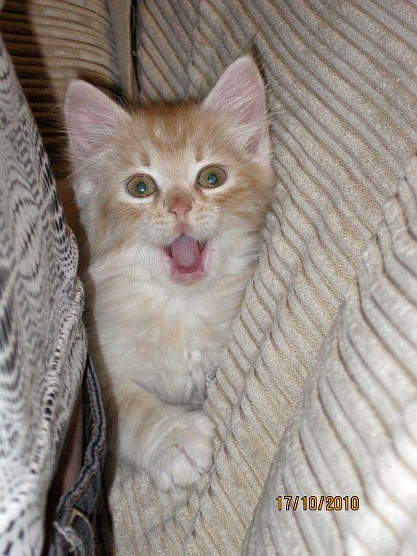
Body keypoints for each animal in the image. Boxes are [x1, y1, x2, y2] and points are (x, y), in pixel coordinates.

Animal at [64, 55, 273, 491]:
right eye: (140, 187)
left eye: (212, 178)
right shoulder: (100, 371)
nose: (179, 207)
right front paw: (175, 438)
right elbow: (127, 411)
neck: (179, 307)